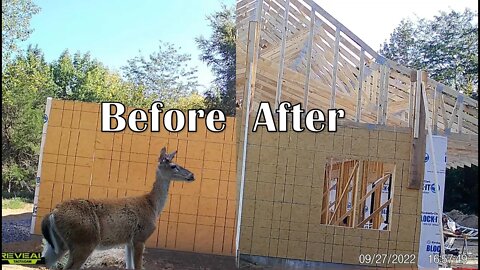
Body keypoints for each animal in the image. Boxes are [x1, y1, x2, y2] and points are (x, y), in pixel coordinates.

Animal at [39, 148, 193, 270]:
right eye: (173, 166)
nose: (192, 175)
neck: (152, 205)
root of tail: (53, 213)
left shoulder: (128, 242)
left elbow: (130, 267)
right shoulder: (140, 237)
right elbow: (138, 267)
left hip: (58, 244)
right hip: (84, 241)